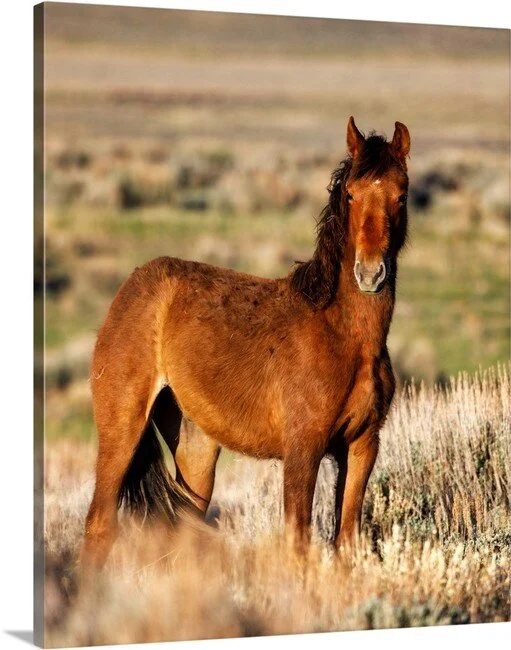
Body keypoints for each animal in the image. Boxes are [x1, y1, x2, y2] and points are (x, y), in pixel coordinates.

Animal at [80, 116, 410, 571]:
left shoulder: (362, 447)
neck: (344, 337)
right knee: (99, 525)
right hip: (122, 428)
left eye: (402, 194)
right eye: (350, 193)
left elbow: (345, 543)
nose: (371, 273)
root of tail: (132, 286)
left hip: (196, 449)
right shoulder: (302, 449)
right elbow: (297, 542)